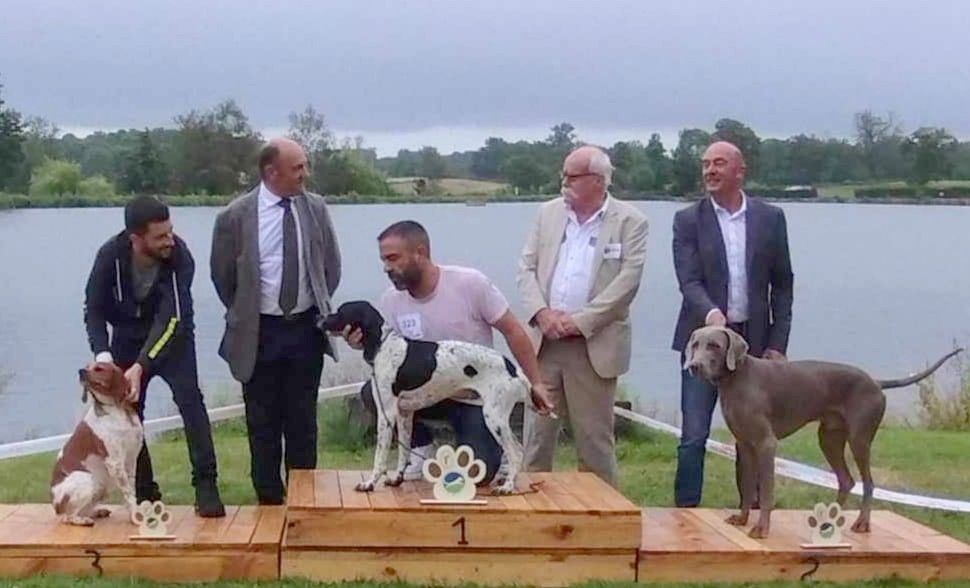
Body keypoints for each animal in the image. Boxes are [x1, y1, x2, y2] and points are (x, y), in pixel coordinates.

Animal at [51, 360, 144, 524]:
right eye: (87, 367)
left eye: (99, 369)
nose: (81, 371)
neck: (116, 410)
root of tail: (56, 507)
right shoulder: (115, 463)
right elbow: (128, 493)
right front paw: (135, 516)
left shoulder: (132, 459)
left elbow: (131, 491)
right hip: (89, 480)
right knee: (69, 517)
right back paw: (83, 520)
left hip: (101, 485)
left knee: (83, 510)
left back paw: (96, 512)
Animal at [318, 300, 544, 494]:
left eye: (341, 311)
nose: (319, 320)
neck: (384, 345)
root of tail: (513, 368)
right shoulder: (404, 413)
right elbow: (404, 451)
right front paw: (397, 479)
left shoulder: (387, 413)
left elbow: (380, 456)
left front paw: (370, 483)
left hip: (494, 418)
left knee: (515, 452)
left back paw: (507, 487)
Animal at [680, 324, 960, 540]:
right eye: (695, 344)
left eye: (714, 345)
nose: (693, 366)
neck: (736, 378)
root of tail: (875, 382)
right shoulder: (744, 444)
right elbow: (748, 487)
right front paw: (741, 518)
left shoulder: (766, 443)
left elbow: (767, 491)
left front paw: (761, 529)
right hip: (829, 438)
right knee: (847, 480)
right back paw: (829, 522)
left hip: (859, 439)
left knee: (868, 483)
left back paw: (862, 524)